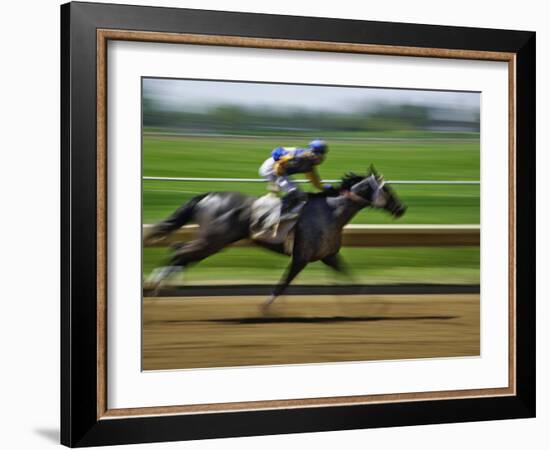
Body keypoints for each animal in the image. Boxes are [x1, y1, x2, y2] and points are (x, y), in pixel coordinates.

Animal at [144, 167, 408, 308]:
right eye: (387, 189)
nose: (401, 208)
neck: (331, 212)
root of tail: (208, 196)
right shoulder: (301, 257)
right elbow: (282, 284)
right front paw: (266, 307)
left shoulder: (329, 256)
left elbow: (353, 279)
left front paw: (377, 304)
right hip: (212, 240)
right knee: (179, 251)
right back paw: (155, 285)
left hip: (212, 243)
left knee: (180, 252)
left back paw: (161, 286)